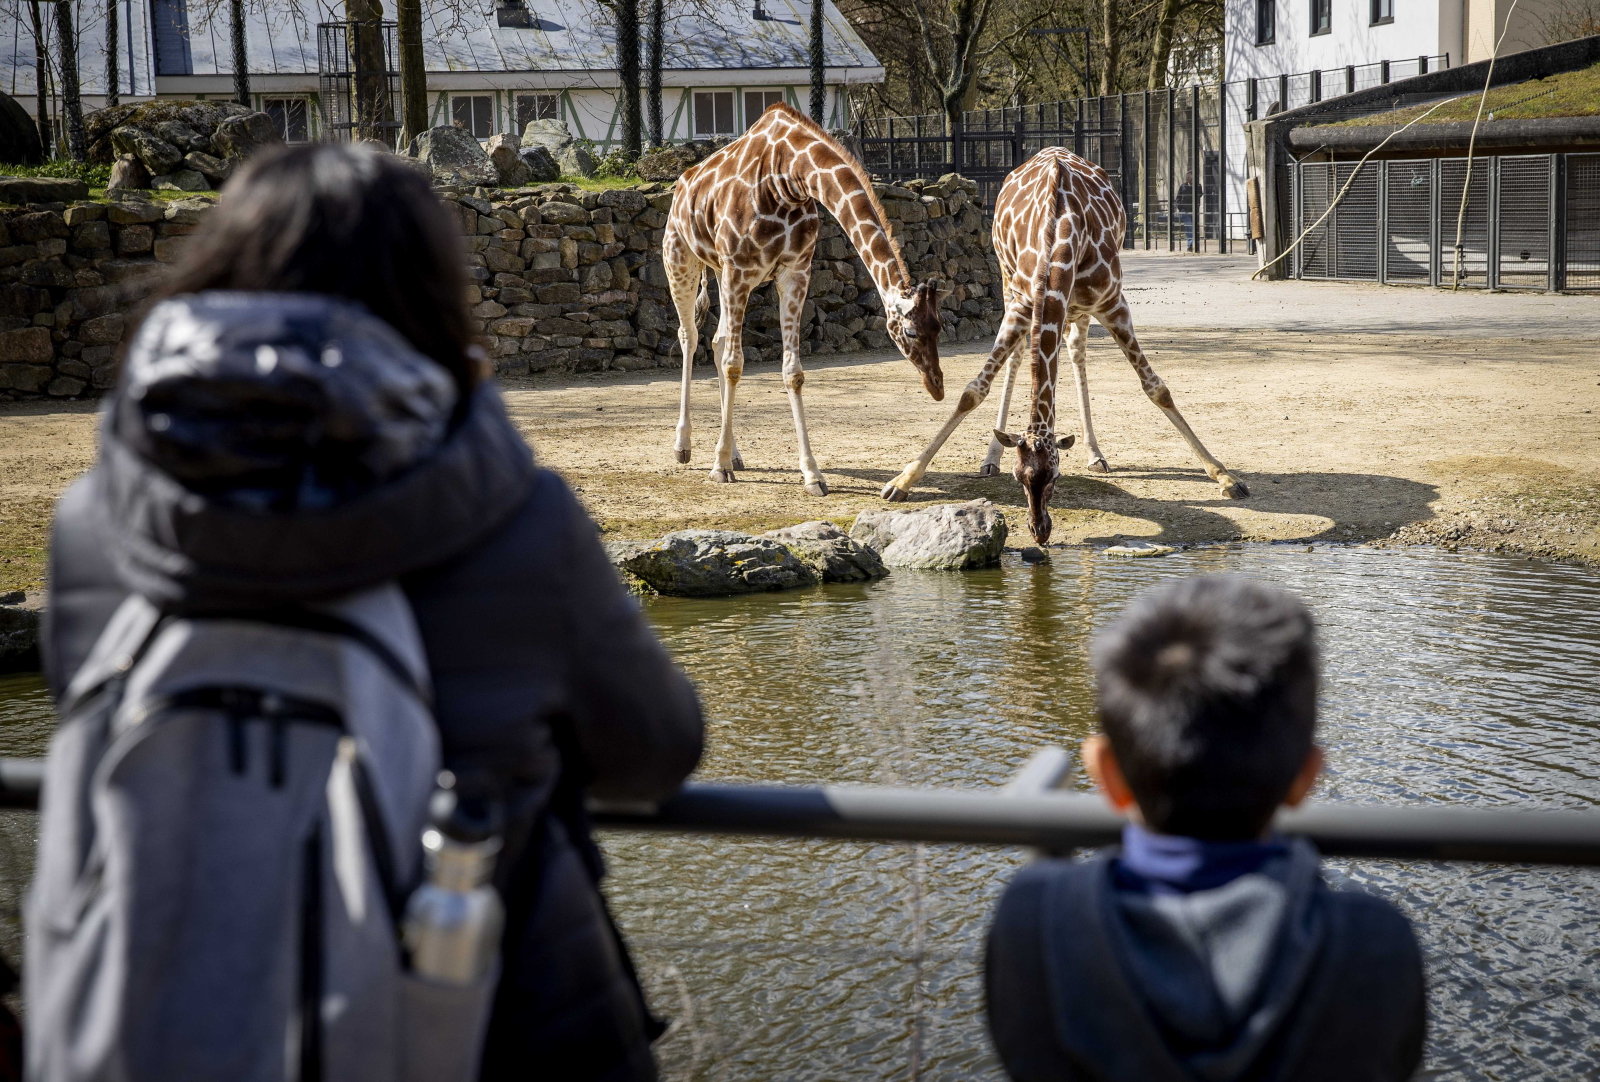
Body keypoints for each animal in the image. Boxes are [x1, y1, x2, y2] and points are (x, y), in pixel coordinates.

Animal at [665, 101, 947, 492]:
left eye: (939, 328)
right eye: (910, 332)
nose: (937, 387)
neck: (788, 176)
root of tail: (681, 184)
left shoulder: (795, 271)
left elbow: (793, 372)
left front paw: (812, 473)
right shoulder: (739, 268)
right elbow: (736, 364)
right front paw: (718, 467)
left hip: (721, 272)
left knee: (719, 341)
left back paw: (735, 454)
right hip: (681, 258)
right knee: (689, 335)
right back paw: (684, 446)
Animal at [883, 145, 1241, 541]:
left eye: (1055, 476)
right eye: (1018, 478)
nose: (1039, 530)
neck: (1059, 234)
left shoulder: (1112, 302)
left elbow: (1156, 388)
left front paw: (1225, 476)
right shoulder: (1023, 304)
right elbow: (972, 391)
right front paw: (902, 480)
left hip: (1079, 309)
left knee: (1076, 353)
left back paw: (1096, 453)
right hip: (1008, 282)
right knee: (1019, 357)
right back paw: (990, 457)